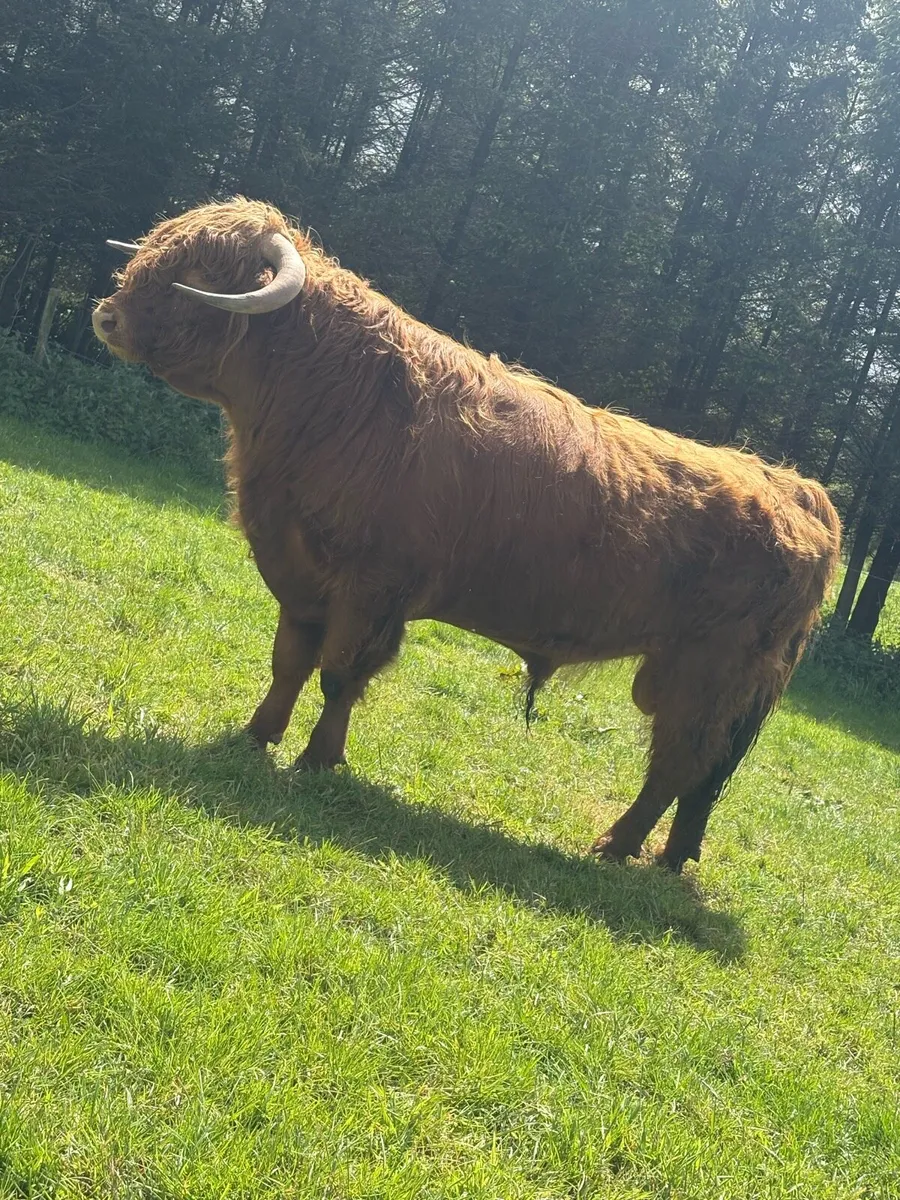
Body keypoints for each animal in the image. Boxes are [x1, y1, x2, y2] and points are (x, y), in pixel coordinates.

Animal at [92, 198, 841, 872]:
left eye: (200, 273)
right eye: (154, 250)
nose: (106, 314)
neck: (332, 394)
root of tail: (794, 488)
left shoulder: (372, 587)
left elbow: (338, 674)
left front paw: (318, 761)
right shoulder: (300, 572)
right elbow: (289, 662)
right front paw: (256, 736)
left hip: (705, 673)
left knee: (680, 761)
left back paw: (616, 846)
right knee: (704, 776)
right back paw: (669, 858)